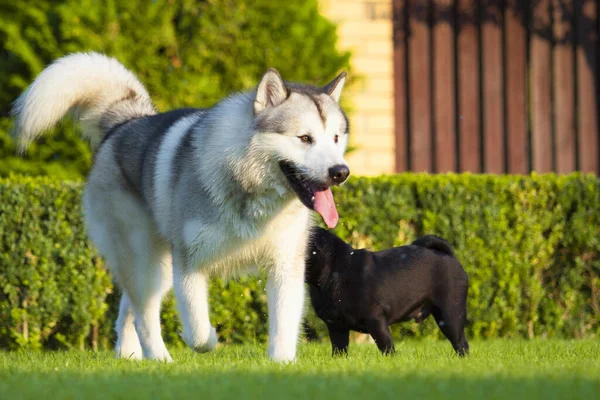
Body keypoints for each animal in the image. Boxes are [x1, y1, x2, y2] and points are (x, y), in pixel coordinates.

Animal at [10, 51, 352, 360]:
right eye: (305, 138)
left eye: (335, 138)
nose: (341, 172)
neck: (249, 187)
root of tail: (126, 121)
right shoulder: (189, 263)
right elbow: (197, 331)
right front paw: (211, 339)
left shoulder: (286, 265)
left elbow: (283, 327)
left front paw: (281, 364)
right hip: (146, 259)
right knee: (145, 315)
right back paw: (159, 358)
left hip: (157, 269)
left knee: (130, 307)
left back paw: (129, 354)